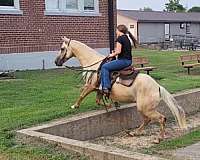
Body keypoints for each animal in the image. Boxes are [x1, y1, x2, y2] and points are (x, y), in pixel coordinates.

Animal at [54, 37, 186, 142]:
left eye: (62, 48)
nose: (56, 62)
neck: (94, 64)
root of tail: (157, 87)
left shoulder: (90, 86)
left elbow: (82, 95)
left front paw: (74, 106)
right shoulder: (99, 89)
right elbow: (98, 100)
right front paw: (111, 105)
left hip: (145, 108)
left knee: (160, 118)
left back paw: (159, 138)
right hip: (143, 108)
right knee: (147, 120)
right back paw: (134, 132)